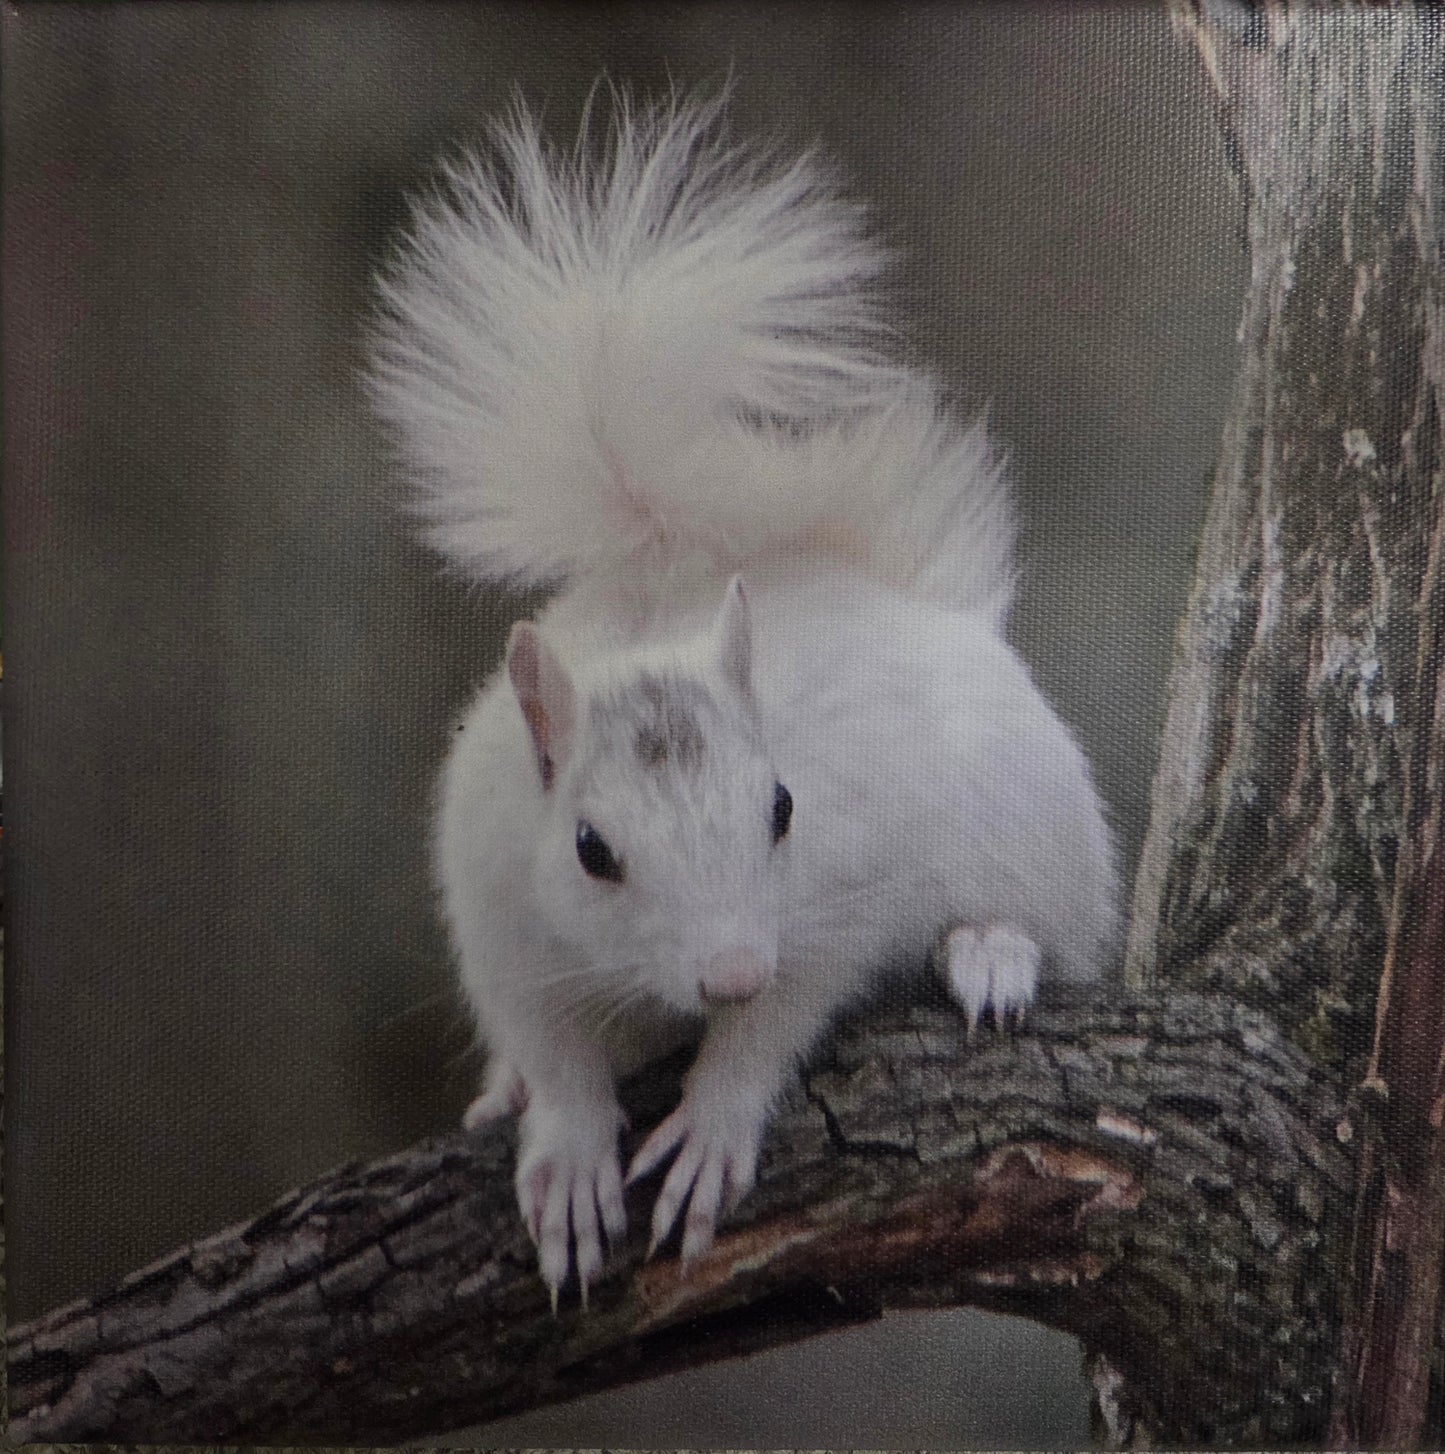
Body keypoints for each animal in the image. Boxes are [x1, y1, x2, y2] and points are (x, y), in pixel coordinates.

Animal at [369, 93, 1118, 1303]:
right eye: (589, 849)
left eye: (782, 808)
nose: (727, 969)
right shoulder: (501, 920)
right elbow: (552, 1044)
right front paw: (563, 1144)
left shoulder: (834, 900)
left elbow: (780, 1019)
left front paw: (715, 1121)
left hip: (1038, 833)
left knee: (1043, 923)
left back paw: (990, 951)